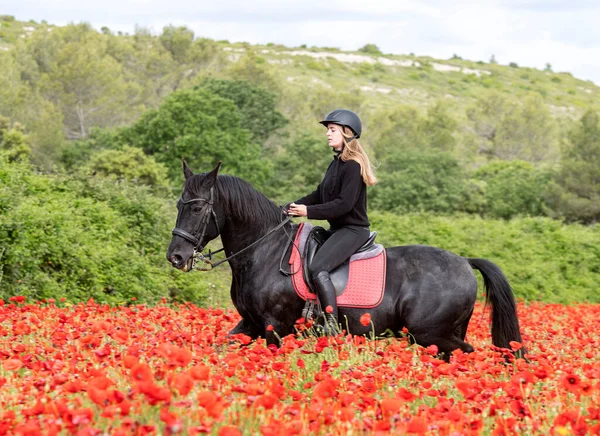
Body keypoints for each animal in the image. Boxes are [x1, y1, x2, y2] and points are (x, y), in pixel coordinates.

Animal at [166, 162, 524, 356]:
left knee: (468, 355)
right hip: (437, 336)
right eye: (179, 204)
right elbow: (223, 348)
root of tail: (464, 261)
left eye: (196, 208)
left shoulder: (274, 328)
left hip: (431, 334)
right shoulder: (251, 324)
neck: (263, 252)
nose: (176, 256)